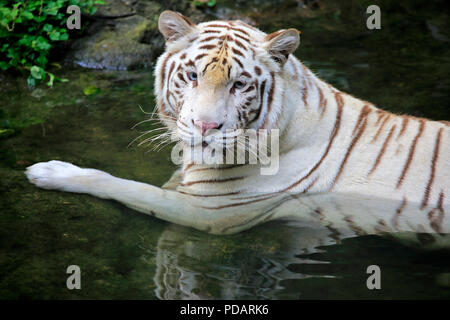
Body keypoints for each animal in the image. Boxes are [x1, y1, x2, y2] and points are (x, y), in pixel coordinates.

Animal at [26, 10, 448, 245]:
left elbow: (123, 185)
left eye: (239, 84)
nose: (205, 125)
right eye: (192, 76)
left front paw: (50, 171)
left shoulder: (207, 211)